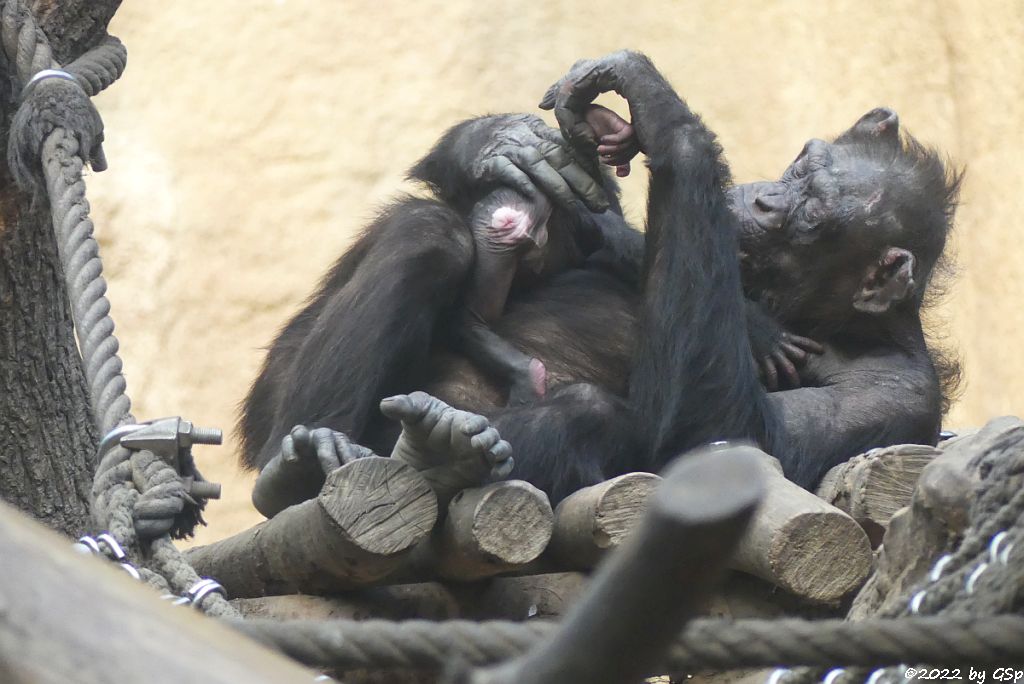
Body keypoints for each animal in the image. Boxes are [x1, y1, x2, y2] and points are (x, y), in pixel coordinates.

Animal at [241, 50, 958, 516]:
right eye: (802, 167)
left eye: (810, 219)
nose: (764, 202)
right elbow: (588, 224)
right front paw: (504, 145)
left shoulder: (892, 397)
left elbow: (722, 438)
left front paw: (659, 110)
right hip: (279, 378)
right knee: (429, 232)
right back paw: (304, 452)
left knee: (592, 412)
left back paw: (423, 454)